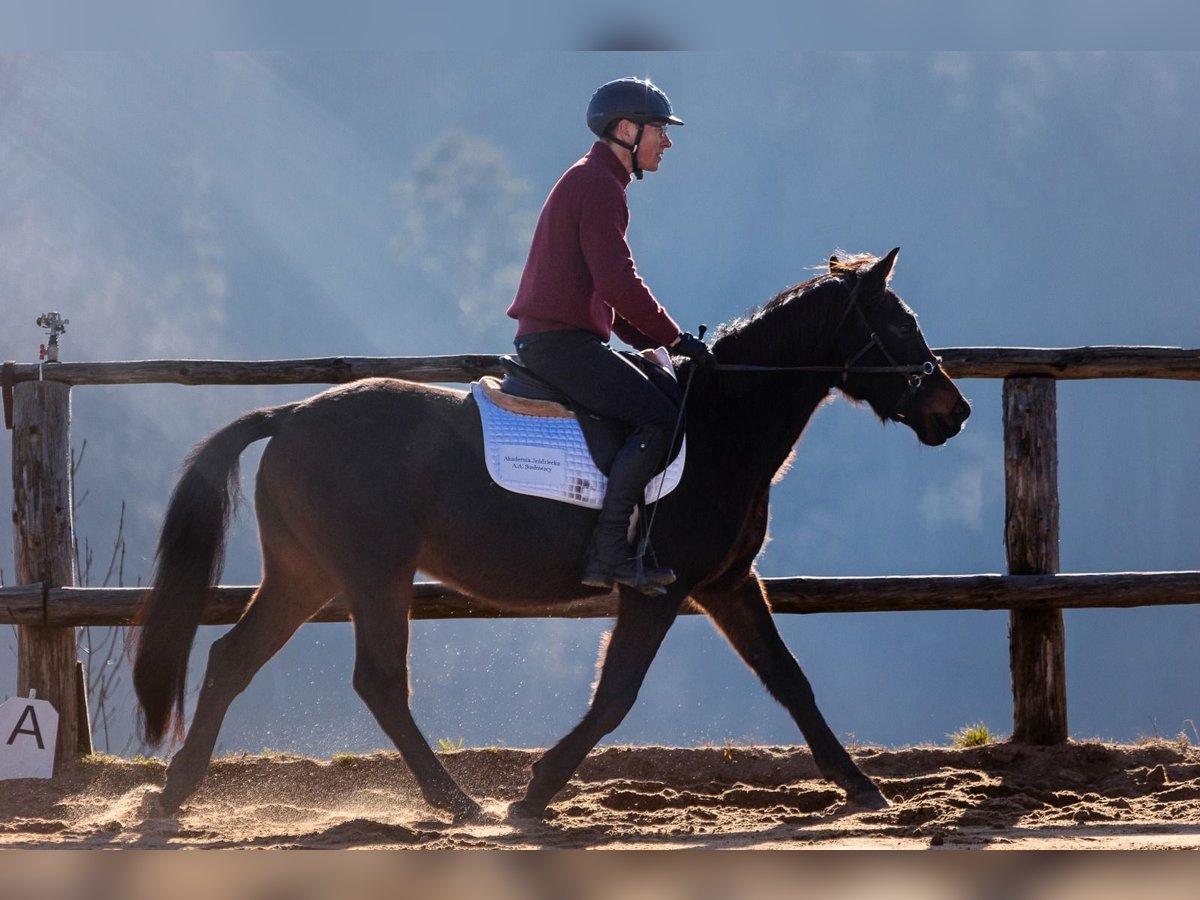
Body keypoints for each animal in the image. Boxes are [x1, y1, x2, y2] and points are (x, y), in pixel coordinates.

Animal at [133, 248, 974, 825]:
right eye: (898, 325)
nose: (954, 411)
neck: (722, 425)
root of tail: (289, 416)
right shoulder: (661, 590)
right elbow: (617, 694)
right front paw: (535, 793)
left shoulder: (729, 585)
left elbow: (790, 679)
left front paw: (863, 787)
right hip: (372, 574)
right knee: (378, 681)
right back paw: (457, 801)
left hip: (308, 573)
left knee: (232, 659)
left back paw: (178, 793)